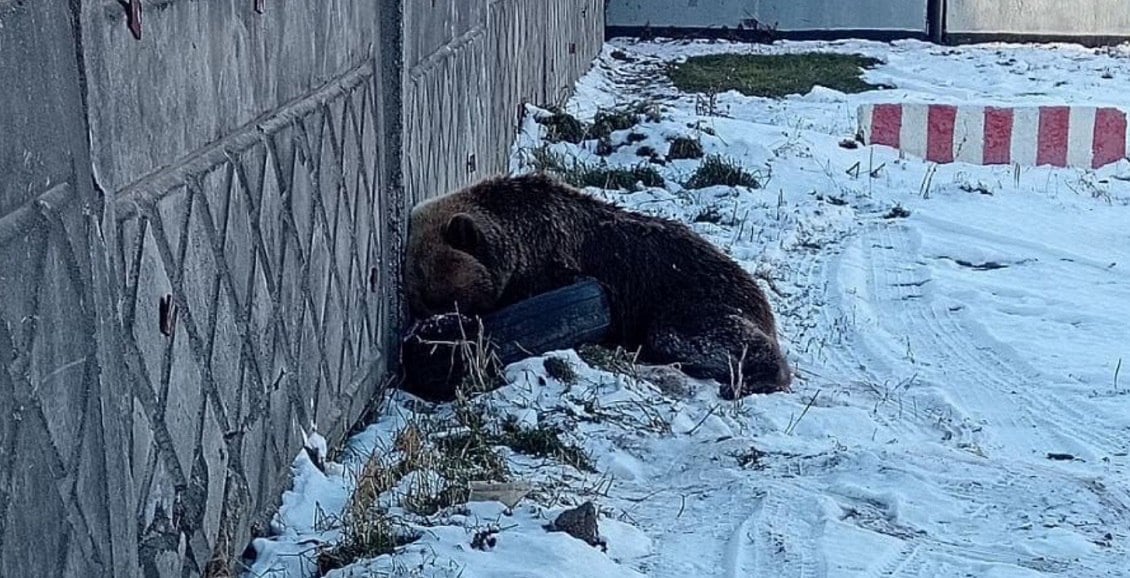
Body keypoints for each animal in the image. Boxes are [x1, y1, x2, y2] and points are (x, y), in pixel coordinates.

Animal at [409, 171, 795, 397]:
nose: (431, 326)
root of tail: (762, 301)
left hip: (693, 299)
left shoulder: (558, 265)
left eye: (440, 294)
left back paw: (754, 378)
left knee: (687, 335)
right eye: (422, 296)